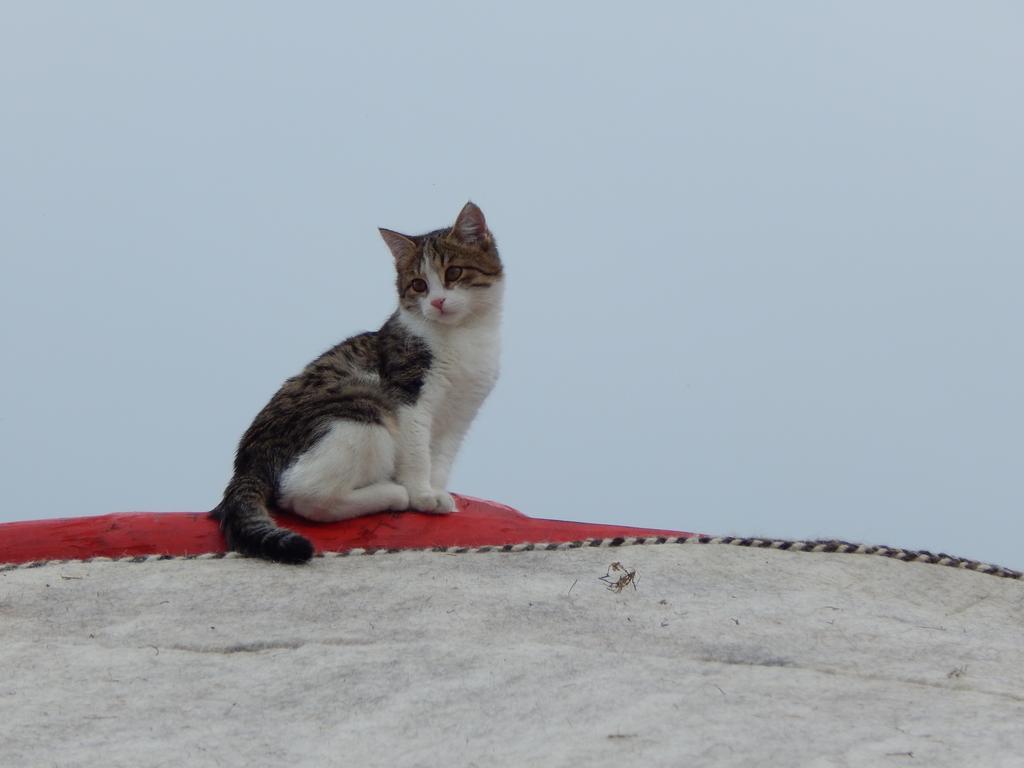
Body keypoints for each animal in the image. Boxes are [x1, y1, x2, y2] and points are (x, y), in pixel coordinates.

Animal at [211, 202, 503, 565]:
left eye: (454, 273)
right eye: (419, 285)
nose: (437, 302)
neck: (464, 337)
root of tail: (247, 462)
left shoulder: (460, 414)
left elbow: (440, 459)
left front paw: (435, 492)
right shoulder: (409, 398)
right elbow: (418, 453)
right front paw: (421, 494)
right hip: (362, 413)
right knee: (304, 494)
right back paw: (394, 493)